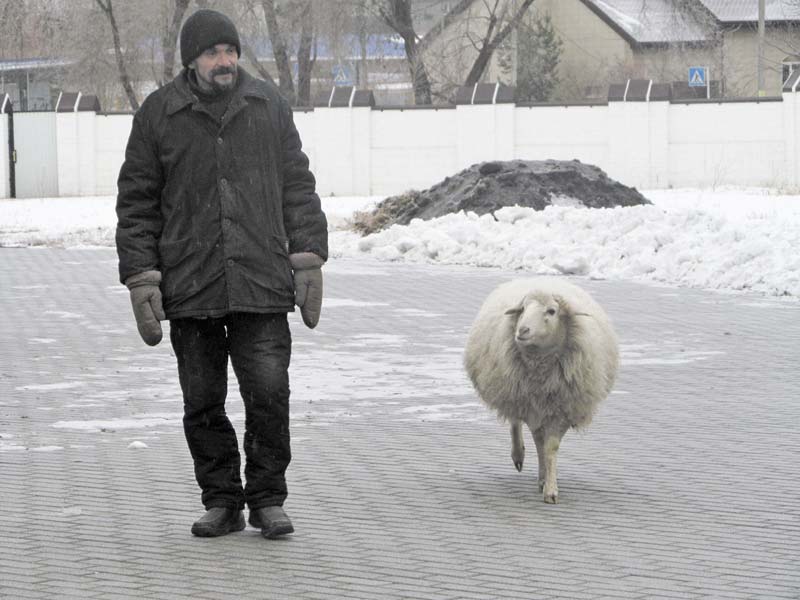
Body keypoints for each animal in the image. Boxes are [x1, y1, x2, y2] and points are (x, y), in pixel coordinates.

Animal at [462, 278, 620, 504]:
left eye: (552, 311)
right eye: (523, 309)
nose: (522, 330)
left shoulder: (562, 409)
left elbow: (550, 447)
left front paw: (550, 487)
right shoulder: (532, 406)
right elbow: (539, 442)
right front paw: (544, 479)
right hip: (512, 386)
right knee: (514, 421)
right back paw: (518, 454)